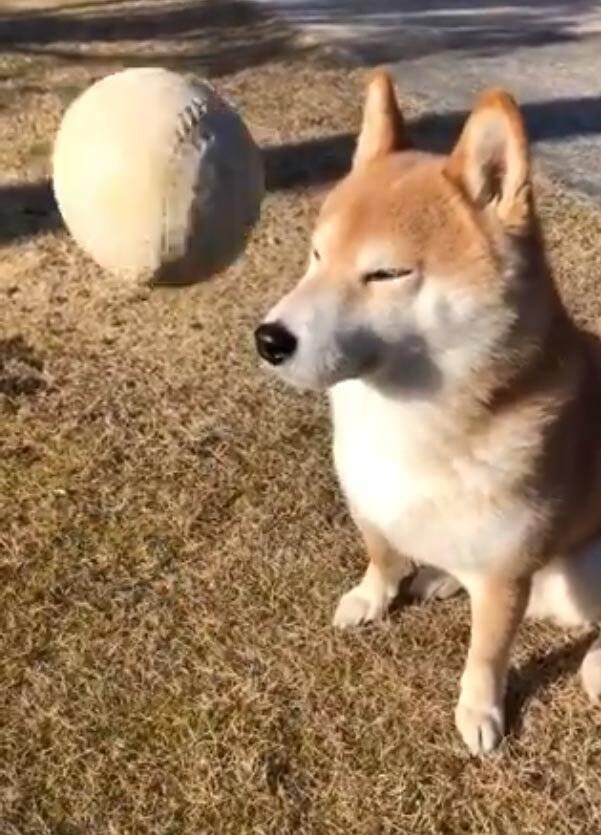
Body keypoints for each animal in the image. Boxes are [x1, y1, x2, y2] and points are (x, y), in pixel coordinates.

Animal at [253, 68, 600, 756]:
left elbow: (487, 652)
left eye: (385, 274)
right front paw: (373, 596)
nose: (269, 339)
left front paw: (480, 711)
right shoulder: (370, 499)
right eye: (315, 256)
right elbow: (383, 554)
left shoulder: (506, 571)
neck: (405, 422)